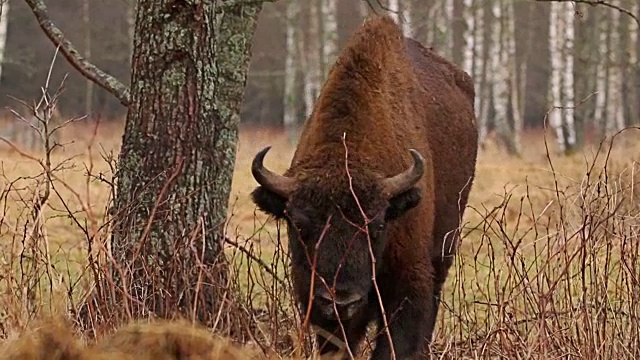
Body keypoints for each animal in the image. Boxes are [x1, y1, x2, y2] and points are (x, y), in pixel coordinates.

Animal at [250, 15, 476, 358]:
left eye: (377, 224)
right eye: (299, 226)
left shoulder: (407, 283)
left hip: (444, 247)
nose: (341, 301)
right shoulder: (313, 295)